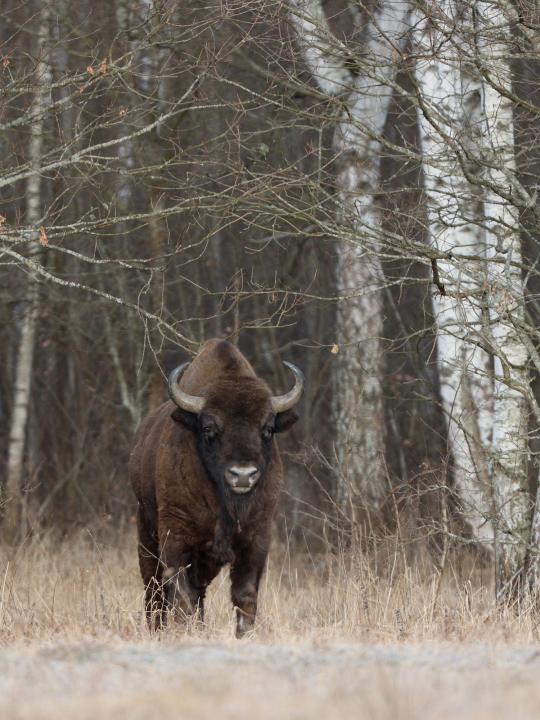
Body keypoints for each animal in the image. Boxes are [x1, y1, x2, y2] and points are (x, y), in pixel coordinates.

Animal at [129, 338, 303, 636]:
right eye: (209, 428)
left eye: (268, 428)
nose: (243, 475)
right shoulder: (176, 537)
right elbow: (181, 597)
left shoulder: (256, 538)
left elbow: (245, 595)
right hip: (147, 534)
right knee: (154, 590)